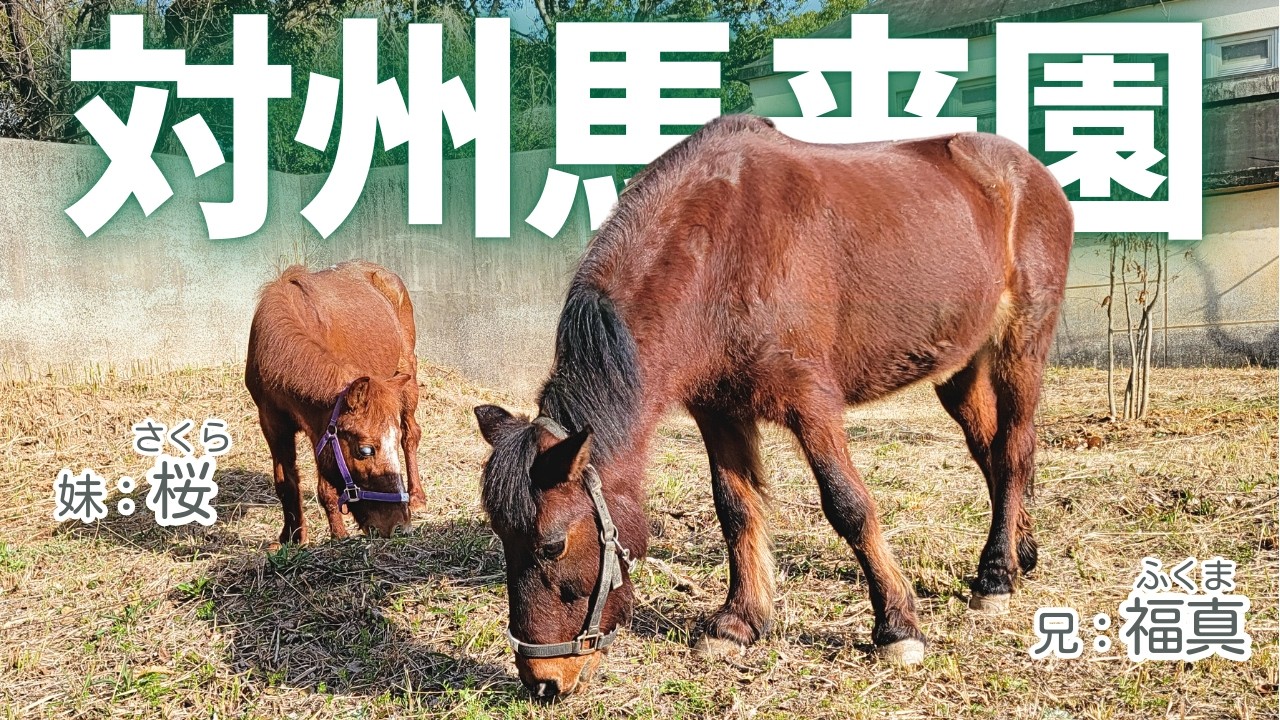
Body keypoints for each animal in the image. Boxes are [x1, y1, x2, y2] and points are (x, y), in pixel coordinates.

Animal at [245, 261, 426, 543]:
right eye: (365, 450)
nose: (399, 526)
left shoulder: (318, 427)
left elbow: (326, 489)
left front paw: (338, 536)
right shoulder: (272, 423)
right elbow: (285, 482)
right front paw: (292, 538)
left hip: (406, 377)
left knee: (411, 434)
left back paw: (417, 497)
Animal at [474, 114, 1074, 697]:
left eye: (553, 545)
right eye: (502, 537)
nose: (544, 681)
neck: (720, 253)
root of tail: (1030, 172)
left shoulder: (812, 404)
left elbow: (848, 505)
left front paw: (896, 626)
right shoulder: (719, 411)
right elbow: (736, 509)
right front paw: (739, 622)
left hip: (1021, 343)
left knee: (1014, 449)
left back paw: (996, 575)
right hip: (959, 365)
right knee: (990, 451)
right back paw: (1021, 550)